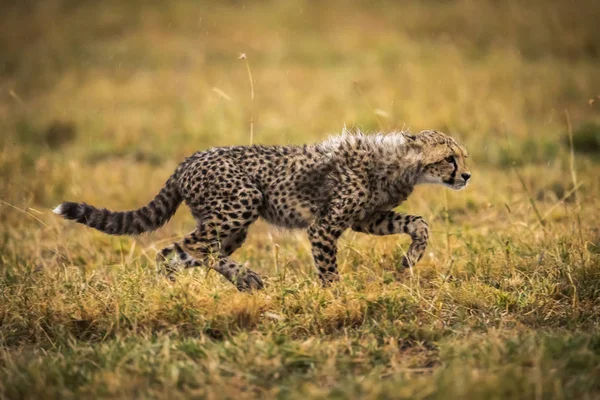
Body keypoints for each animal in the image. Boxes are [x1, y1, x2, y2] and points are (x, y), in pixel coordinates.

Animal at [54, 130, 468, 292]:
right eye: (450, 158)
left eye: (462, 157)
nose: (466, 175)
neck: (402, 163)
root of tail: (189, 159)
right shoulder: (324, 227)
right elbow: (328, 268)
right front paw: (334, 297)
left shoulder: (368, 218)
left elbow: (419, 223)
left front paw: (411, 258)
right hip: (243, 200)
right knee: (194, 245)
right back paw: (246, 278)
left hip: (230, 224)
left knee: (177, 251)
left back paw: (174, 292)